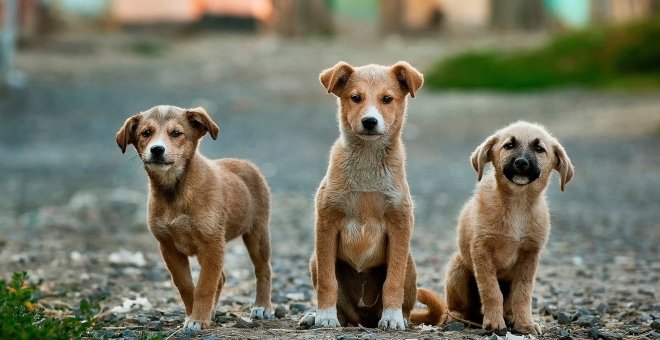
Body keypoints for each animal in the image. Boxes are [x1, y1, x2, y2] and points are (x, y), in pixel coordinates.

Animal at [116, 105, 274, 330]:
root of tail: (246, 163)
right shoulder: (169, 247)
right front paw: (194, 315)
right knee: (221, 278)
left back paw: (262, 307)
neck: (175, 191)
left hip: (257, 233)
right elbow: (186, 285)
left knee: (263, 269)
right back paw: (213, 312)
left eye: (176, 133)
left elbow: (204, 286)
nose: (157, 149)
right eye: (146, 133)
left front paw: (198, 319)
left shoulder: (212, 244)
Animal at [302, 61, 446, 330]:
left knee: (404, 299)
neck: (367, 164)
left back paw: (400, 317)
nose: (370, 121)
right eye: (355, 98)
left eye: (387, 99)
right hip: (315, 260)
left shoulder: (399, 225)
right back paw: (317, 316)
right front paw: (324, 316)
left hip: (410, 264)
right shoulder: (326, 223)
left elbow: (393, 282)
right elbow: (328, 281)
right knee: (343, 310)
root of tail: (364, 318)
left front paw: (392, 318)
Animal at [440, 121, 576, 334]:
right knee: (457, 307)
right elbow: (491, 291)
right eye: (509, 145)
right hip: (457, 268)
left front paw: (525, 324)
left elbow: (523, 294)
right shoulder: (482, 250)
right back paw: (454, 317)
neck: (517, 205)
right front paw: (494, 323)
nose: (521, 163)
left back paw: (510, 318)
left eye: (539, 149)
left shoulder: (530, 255)